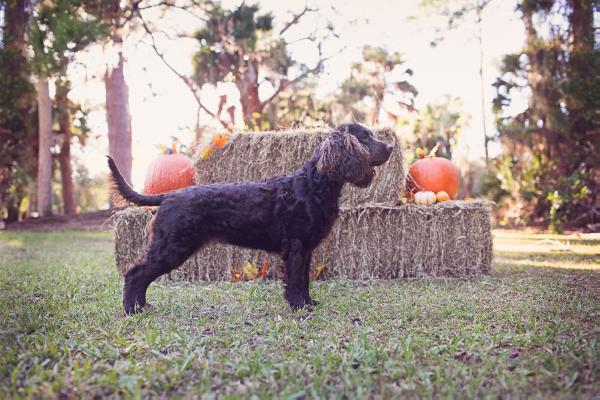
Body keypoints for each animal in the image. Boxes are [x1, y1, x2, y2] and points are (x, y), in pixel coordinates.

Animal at [109, 123, 394, 314]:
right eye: (365, 137)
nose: (391, 147)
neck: (314, 184)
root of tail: (168, 195)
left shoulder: (306, 249)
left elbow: (304, 279)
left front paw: (308, 303)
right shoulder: (296, 247)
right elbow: (295, 281)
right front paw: (300, 308)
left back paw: (142, 306)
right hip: (171, 246)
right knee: (135, 274)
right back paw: (132, 310)